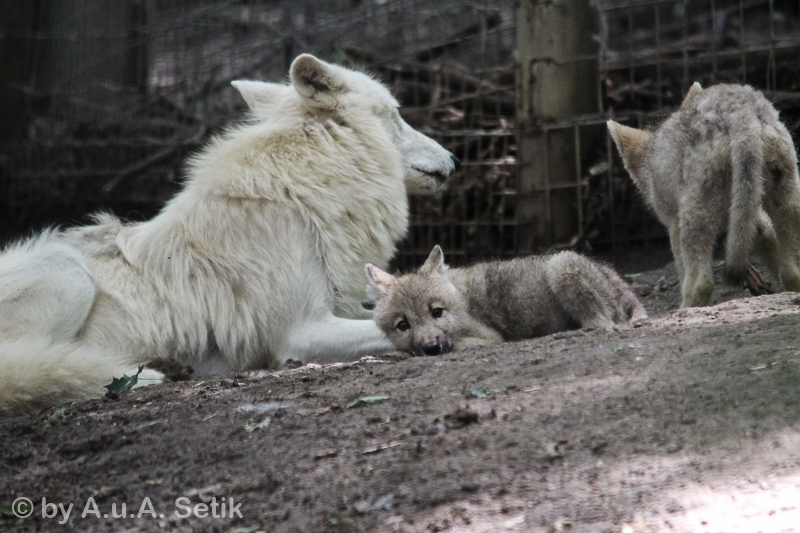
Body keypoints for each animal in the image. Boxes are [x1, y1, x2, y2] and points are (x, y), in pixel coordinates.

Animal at [366, 247, 648, 356]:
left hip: (560, 264)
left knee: (602, 323)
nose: (432, 348)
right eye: (403, 325)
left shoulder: (489, 338)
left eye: (437, 312)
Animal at [608, 83, 800, 308]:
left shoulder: (673, 223)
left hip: (695, 216)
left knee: (702, 284)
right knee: (792, 272)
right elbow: (768, 242)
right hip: (784, 198)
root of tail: (739, 111)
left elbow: (683, 272)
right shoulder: (749, 215)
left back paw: (684, 310)